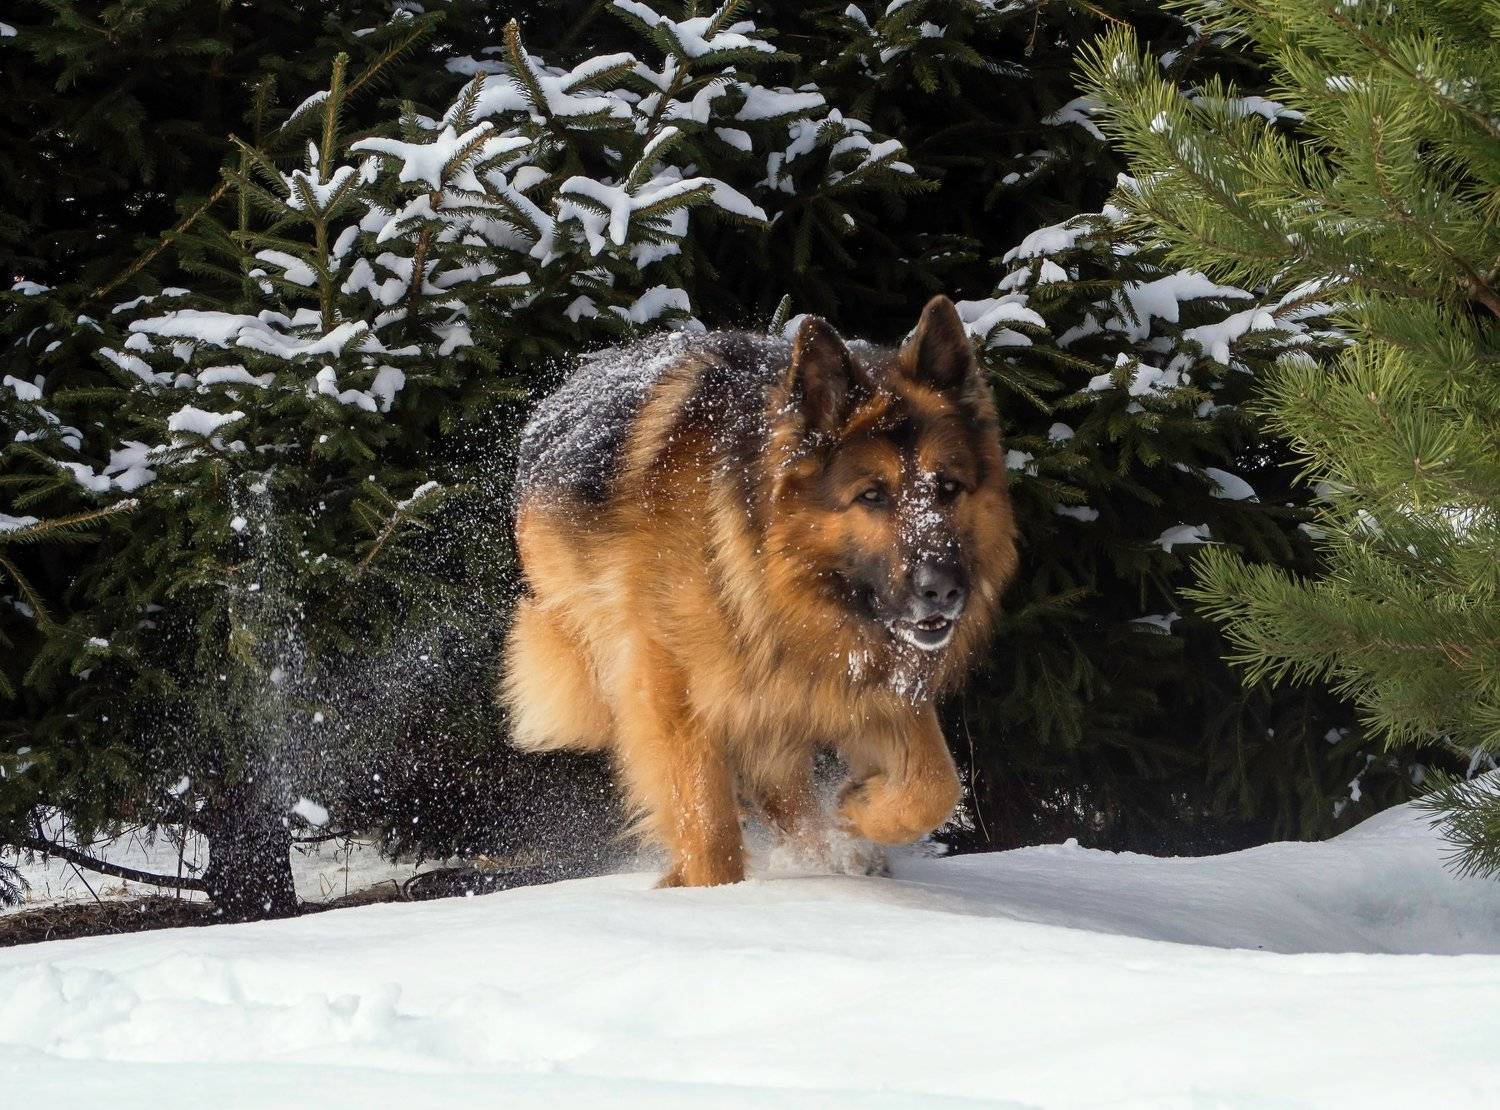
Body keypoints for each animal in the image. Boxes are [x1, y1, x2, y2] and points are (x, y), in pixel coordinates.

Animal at [500, 295, 1018, 887]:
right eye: (871, 495)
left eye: (948, 487)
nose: (943, 592)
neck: (765, 562)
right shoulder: (672, 691)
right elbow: (706, 823)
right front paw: (718, 893)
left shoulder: (862, 670)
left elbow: (934, 784)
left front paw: (859, 810)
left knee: (783, 788)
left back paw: (830, 853)